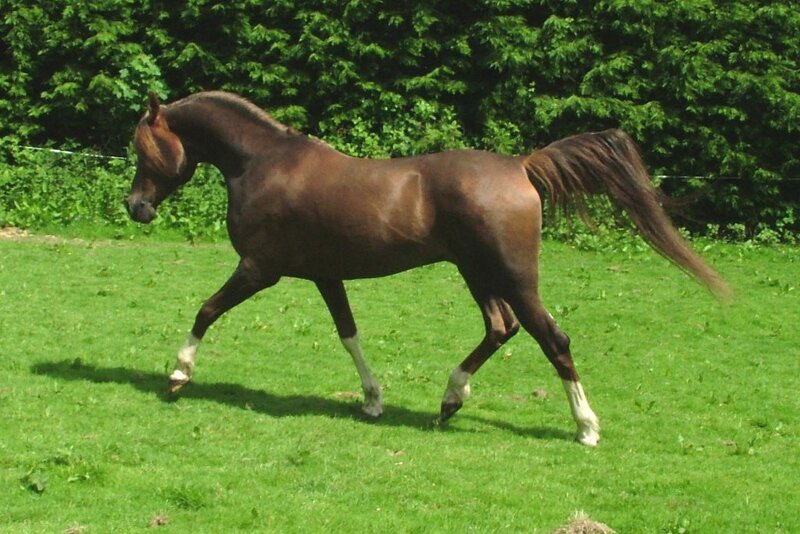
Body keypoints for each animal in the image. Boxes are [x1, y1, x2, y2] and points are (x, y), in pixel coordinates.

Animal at [125, 91, 731, 446]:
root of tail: (521, 166)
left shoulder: (259, 268)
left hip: (512, 276)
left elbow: (205, 311)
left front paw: (178, 375)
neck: (263, 163)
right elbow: (348, 334)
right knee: (501, 327)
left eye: (142, 146)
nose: (136, 207)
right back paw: (449, 401)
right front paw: (373, 400)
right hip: (476, 272)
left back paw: (585, 427)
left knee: (552, 338)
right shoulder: (325, 275)